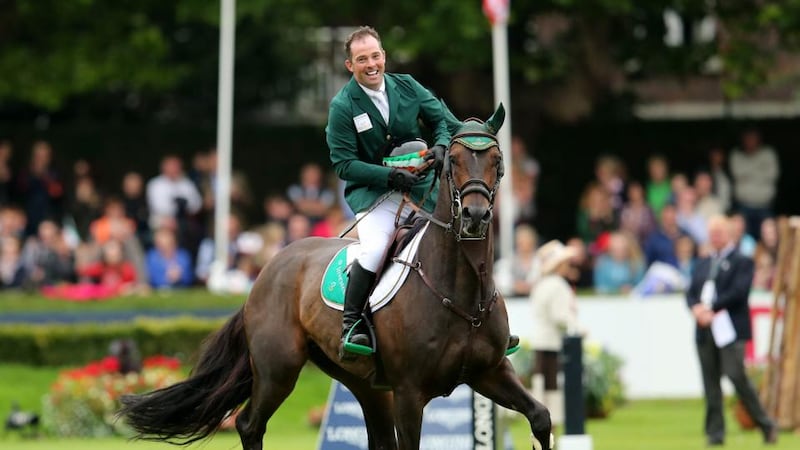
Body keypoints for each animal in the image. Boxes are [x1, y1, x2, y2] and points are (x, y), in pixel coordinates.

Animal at [119, 104, 553, 450]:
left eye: (497, 160)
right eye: (454, 162)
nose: (475, 217)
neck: (460, 288)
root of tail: (268, 269)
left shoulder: (489, 372)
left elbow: (541, 417)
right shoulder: (410, 392)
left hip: (363, 382)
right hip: (278, 369)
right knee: (248, 424)